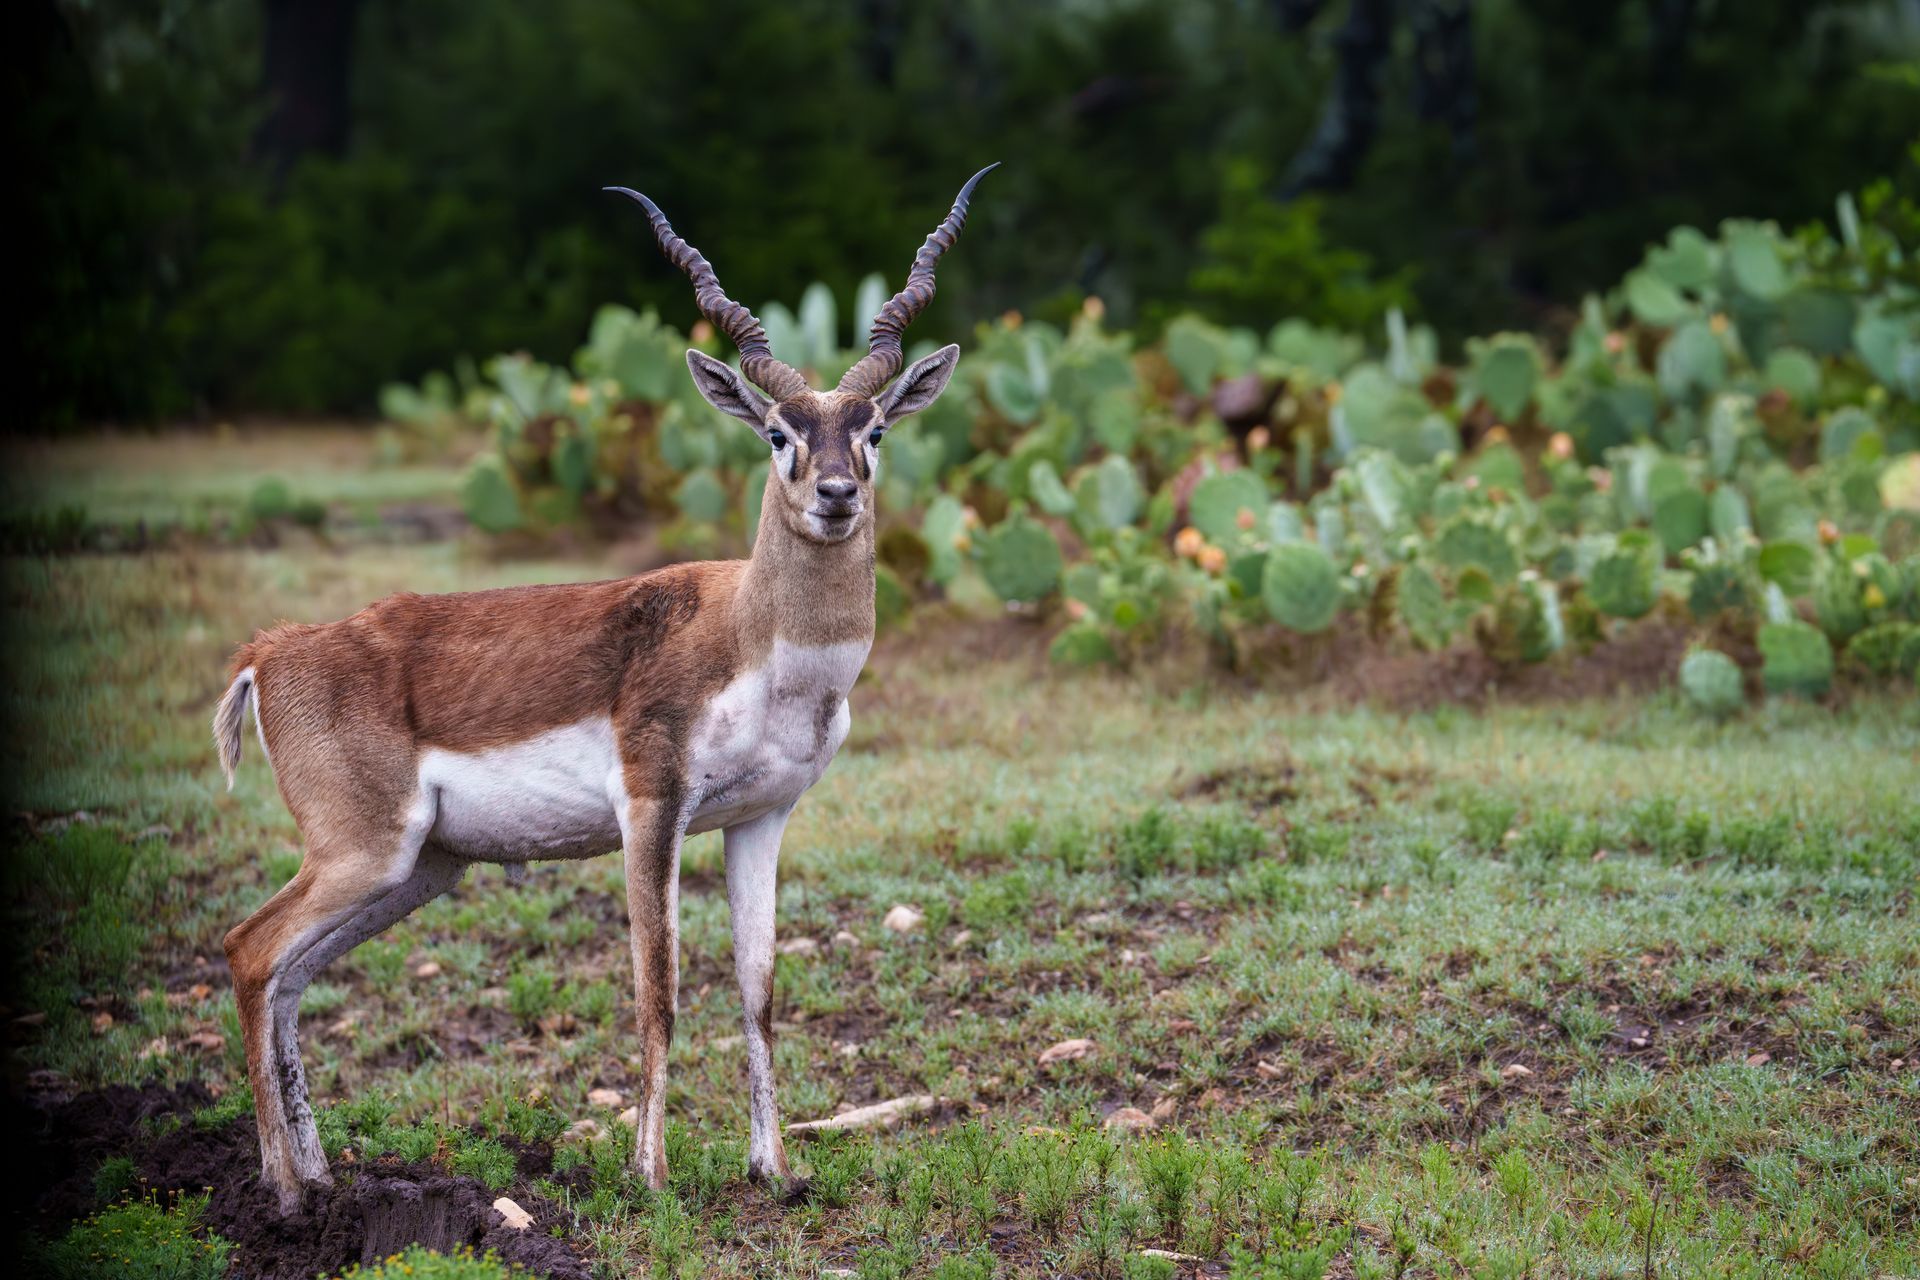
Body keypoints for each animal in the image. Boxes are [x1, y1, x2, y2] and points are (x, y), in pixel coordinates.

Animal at [212, 165, 995, 1214]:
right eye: (778, 432)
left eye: (871, 429)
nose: (835, 494)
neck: (753, 638)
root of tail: (274, 650)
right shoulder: (651, 807)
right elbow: (657, 991)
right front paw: (649, 1175)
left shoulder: (764, 817)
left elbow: (759, 990)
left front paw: (775, 1169)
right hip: (363, 851)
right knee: (250, 951)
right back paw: (286, 1196)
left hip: (418, 866)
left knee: (290, 979)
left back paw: (323, 1180)